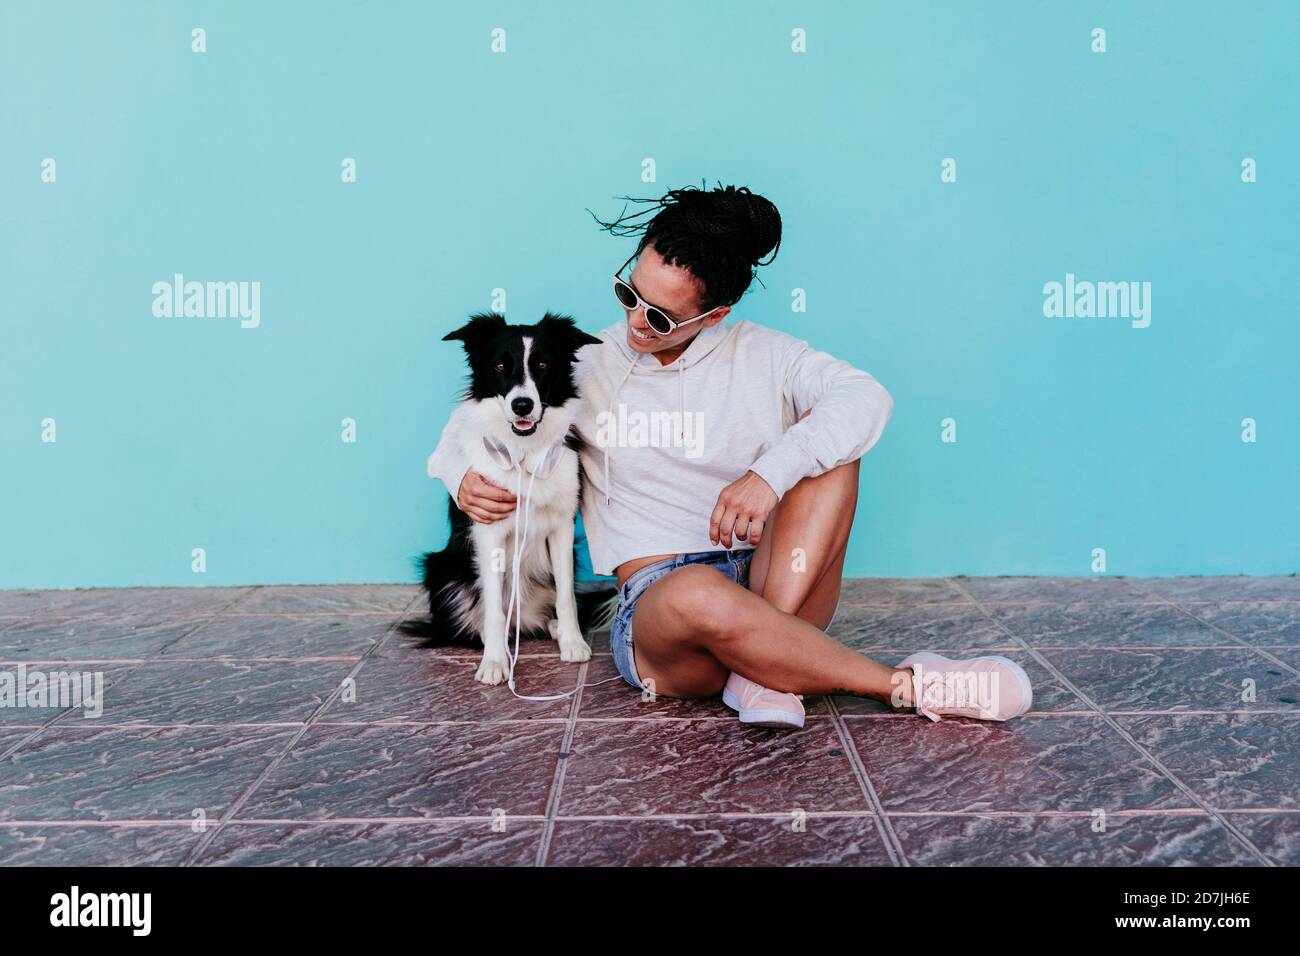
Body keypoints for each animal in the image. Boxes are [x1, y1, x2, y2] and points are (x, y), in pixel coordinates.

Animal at [400, 310, 603, 686]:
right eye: (499, 366)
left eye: (542, 364)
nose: (522, 405)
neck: (524, 452)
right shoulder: (488, 530)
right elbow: (493, 607)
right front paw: (494, 662)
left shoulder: (562, 527)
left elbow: (566, 595)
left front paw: (573, 642)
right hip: (441, 570)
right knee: (472, 623)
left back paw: (553, 627)